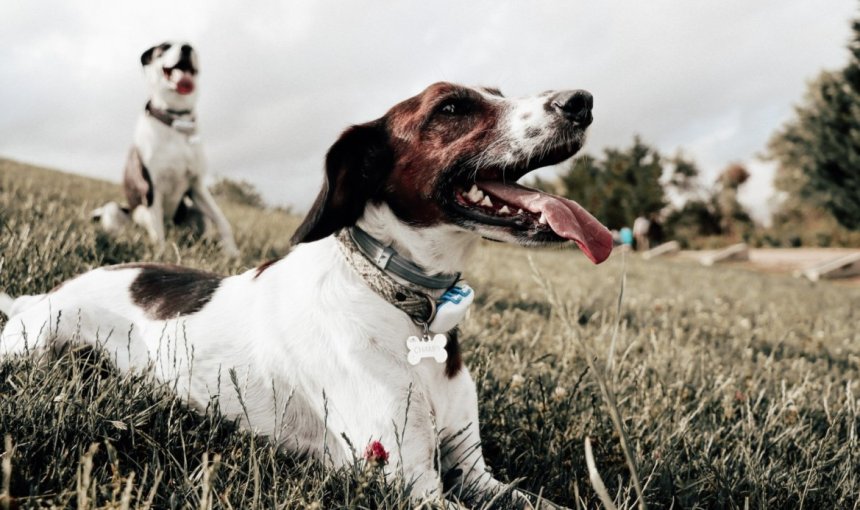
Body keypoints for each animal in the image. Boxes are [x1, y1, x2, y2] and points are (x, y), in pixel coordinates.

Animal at [3, 82, 616, 506]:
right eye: (451, 108)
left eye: (496, 91)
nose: (582, 100)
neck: (404, 308)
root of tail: (42, 297)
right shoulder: (410, 483)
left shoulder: (477, 474)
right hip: (34, 345)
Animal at [93, 42, 240, 258]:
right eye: (164, 48)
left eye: (191, 46)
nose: (186, 47)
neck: (175, 122)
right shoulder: (151, 189)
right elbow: (157, 234)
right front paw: (162, 256)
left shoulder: (196, 185)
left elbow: (223, 220)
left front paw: (232, 253)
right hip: (116, 210)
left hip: (194, 211)